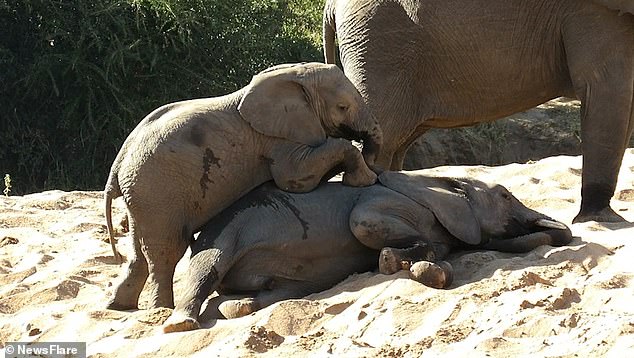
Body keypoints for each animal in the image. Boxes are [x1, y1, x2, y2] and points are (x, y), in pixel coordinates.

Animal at [104, 62, 382, 310]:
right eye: (342, 107)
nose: (374, 164)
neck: (294, 76)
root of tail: (117, 165)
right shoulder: (276, 139)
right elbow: (296, 179)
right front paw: (363, 180)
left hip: (141, 195)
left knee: (139, 250)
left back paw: (118, 306)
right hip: (157, 192)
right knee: (167, 250)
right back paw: (161, 310)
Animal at [160, 173, 572, 332]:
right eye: (504, 194)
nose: (561, 235)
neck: (439, 181)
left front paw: (413, 265)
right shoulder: (385, 200)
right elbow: (361, 222)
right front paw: (395, 262)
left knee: (276, 291)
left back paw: (239, 308)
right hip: (223, 232)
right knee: (207, 267)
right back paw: (180, 324)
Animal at [324, 0, 628, 224]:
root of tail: (330, 6)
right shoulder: (591, 11)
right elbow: (607, 90)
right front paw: (600, 219)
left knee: (394, 145)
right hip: (379, 46)